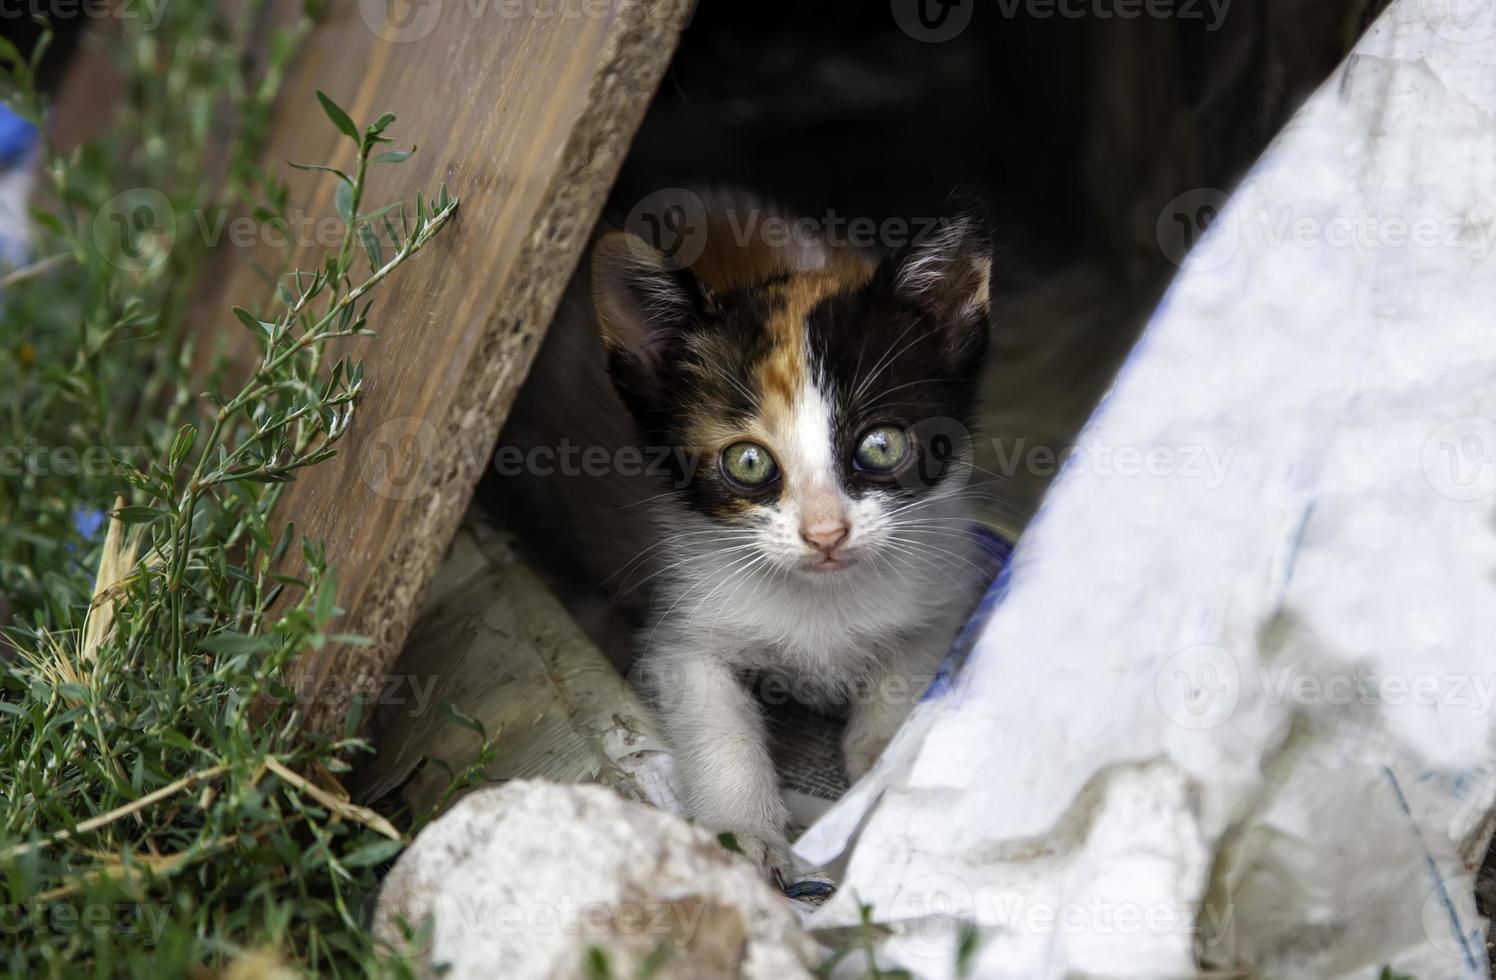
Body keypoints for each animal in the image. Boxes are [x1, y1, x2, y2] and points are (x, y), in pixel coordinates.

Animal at [577, 190, 999, 879]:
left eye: (881, 446)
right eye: (748, 462)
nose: (826, 531)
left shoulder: (943, 581)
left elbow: (904, 678)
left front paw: (874, 798)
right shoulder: (682, 623)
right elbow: (715, 720)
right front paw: (743, 836)